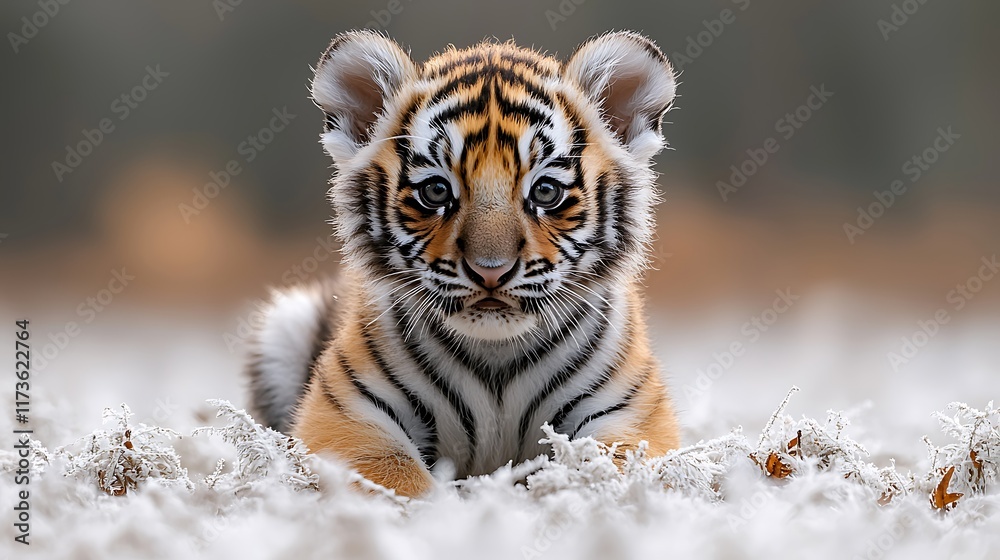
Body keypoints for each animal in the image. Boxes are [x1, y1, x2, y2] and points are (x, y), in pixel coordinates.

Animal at [247, 29, 680, 498]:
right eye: (436, 191)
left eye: (545, 192)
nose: (491, 269)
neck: (496, 355)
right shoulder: (350, 417)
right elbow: (398, 480)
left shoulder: (630, 416)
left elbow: (609, 473)